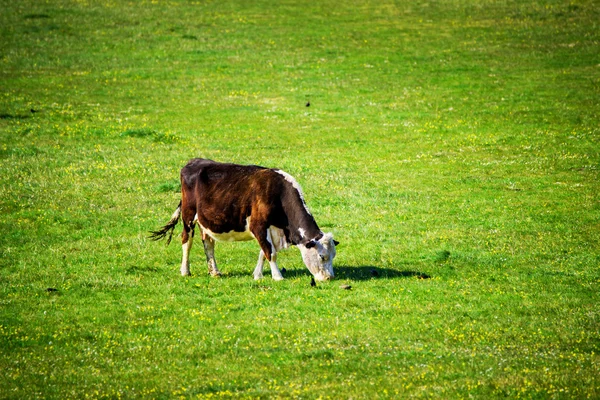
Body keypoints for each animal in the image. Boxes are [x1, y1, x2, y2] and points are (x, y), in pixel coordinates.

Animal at [150, 159, 338, 282]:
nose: (329, 278)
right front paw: (277, 276)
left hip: (206, 221)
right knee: (186, 241)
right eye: (322, 257)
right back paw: (185, 270)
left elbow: (263, 252)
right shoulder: (258, 226)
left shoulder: (268, 229)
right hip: (188, 215)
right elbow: (271, 253)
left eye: (333, 255)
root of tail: (195, 161)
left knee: (208, 243)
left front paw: (258, 275)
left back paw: (214, 271)